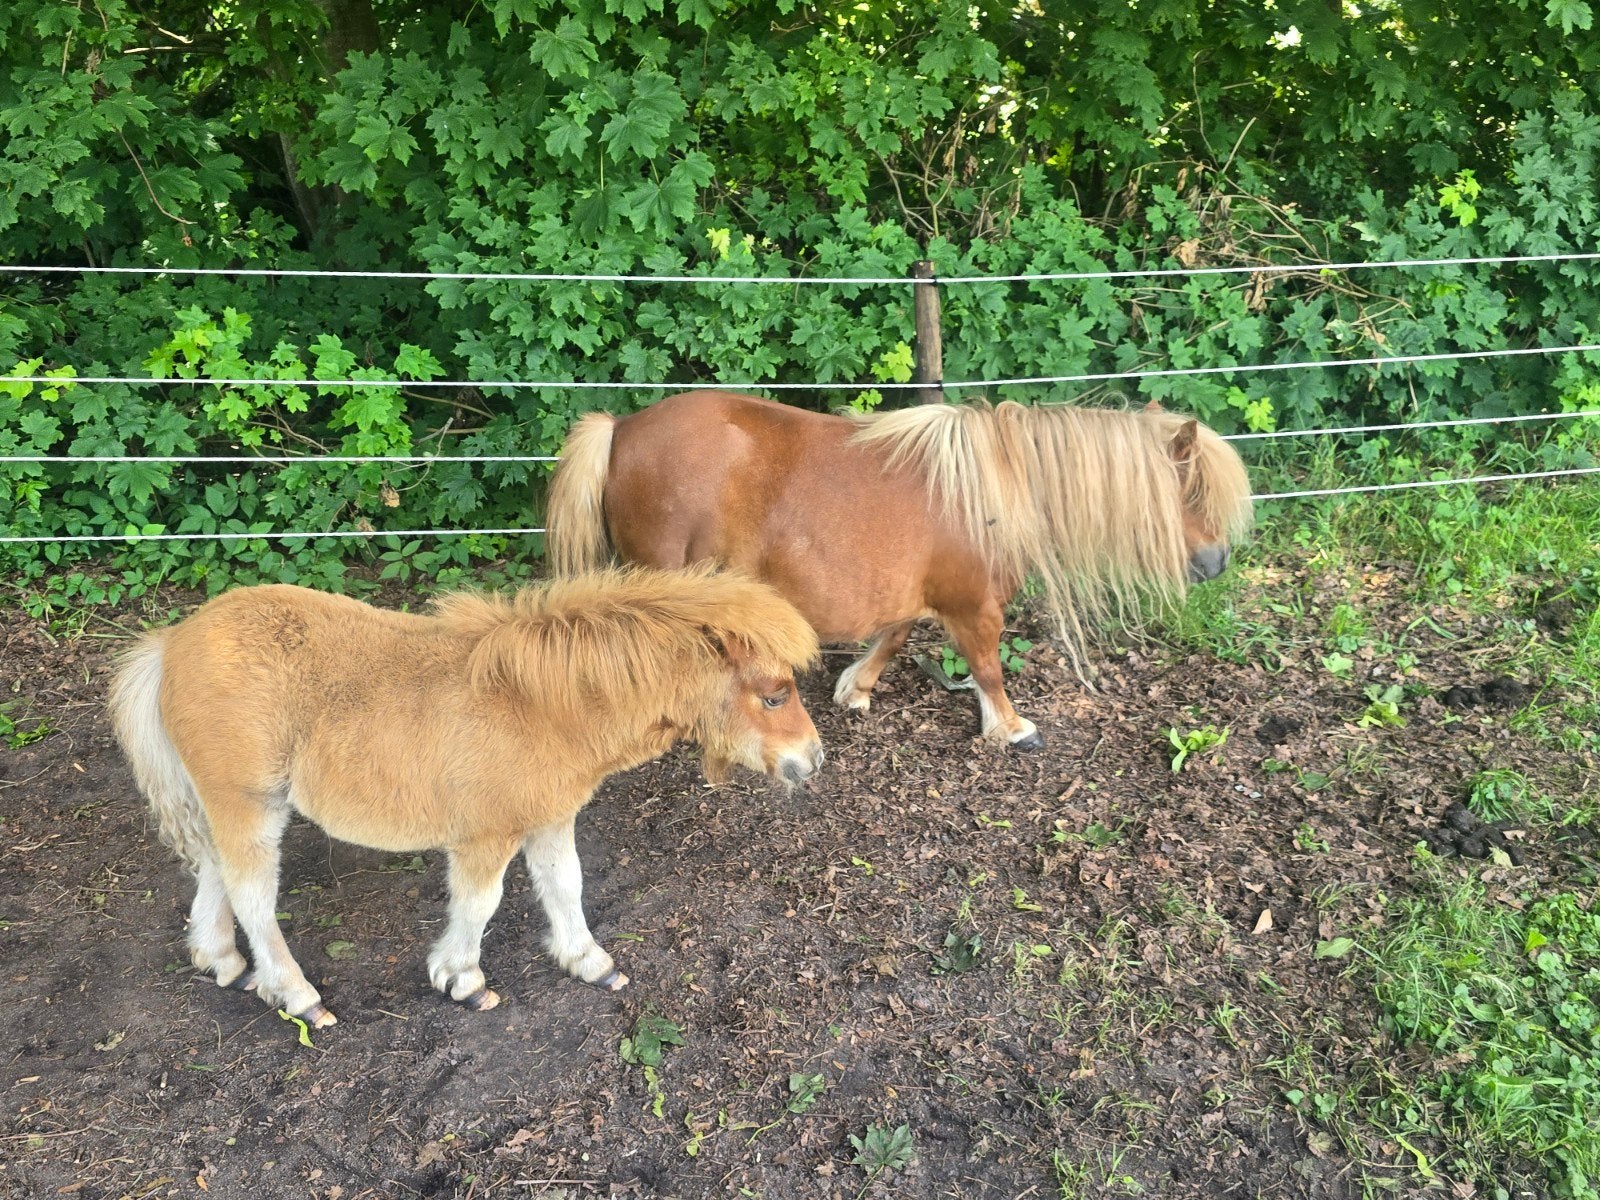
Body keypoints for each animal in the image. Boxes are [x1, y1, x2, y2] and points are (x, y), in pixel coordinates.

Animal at [109, 565, 823, 1028]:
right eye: (774, 695)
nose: (811, 760)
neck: (543, 706)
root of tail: (172, 643)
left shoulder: (549, 817)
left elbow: (566, 885)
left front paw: (588, 961)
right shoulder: (487, 835)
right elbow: (481, 903)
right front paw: (463, 979)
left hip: (230, 801)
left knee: (214, 867)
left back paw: (220, 958)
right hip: (249, 801)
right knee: (254, 894)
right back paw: (295, 992)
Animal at [546, 391, 1252, 750]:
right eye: (1191, 493)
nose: (1217, 563)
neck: (994, 492)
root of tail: (621, 427)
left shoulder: (920, 596)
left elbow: (896, 636)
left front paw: (855, 688)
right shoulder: (974, 606)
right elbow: (988, 667)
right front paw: (1011, 729)